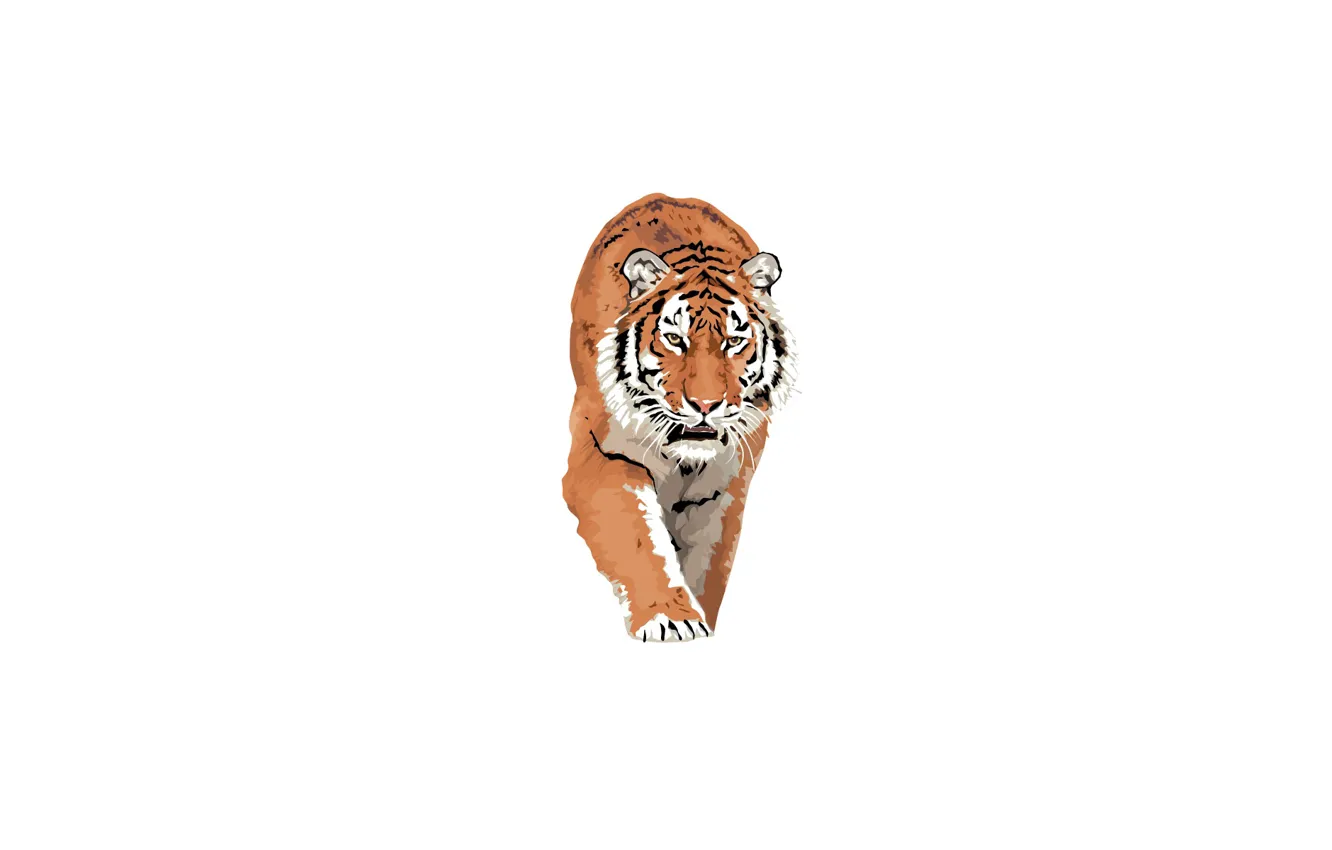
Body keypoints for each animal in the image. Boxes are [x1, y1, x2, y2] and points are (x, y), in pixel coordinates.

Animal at [562, 194, 796, 641]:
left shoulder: (725, 484)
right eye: (674, 338)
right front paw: (671, 618)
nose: (705, 404)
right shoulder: (602, 456)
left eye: (734, 341)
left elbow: (710, 562)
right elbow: (640, 542)